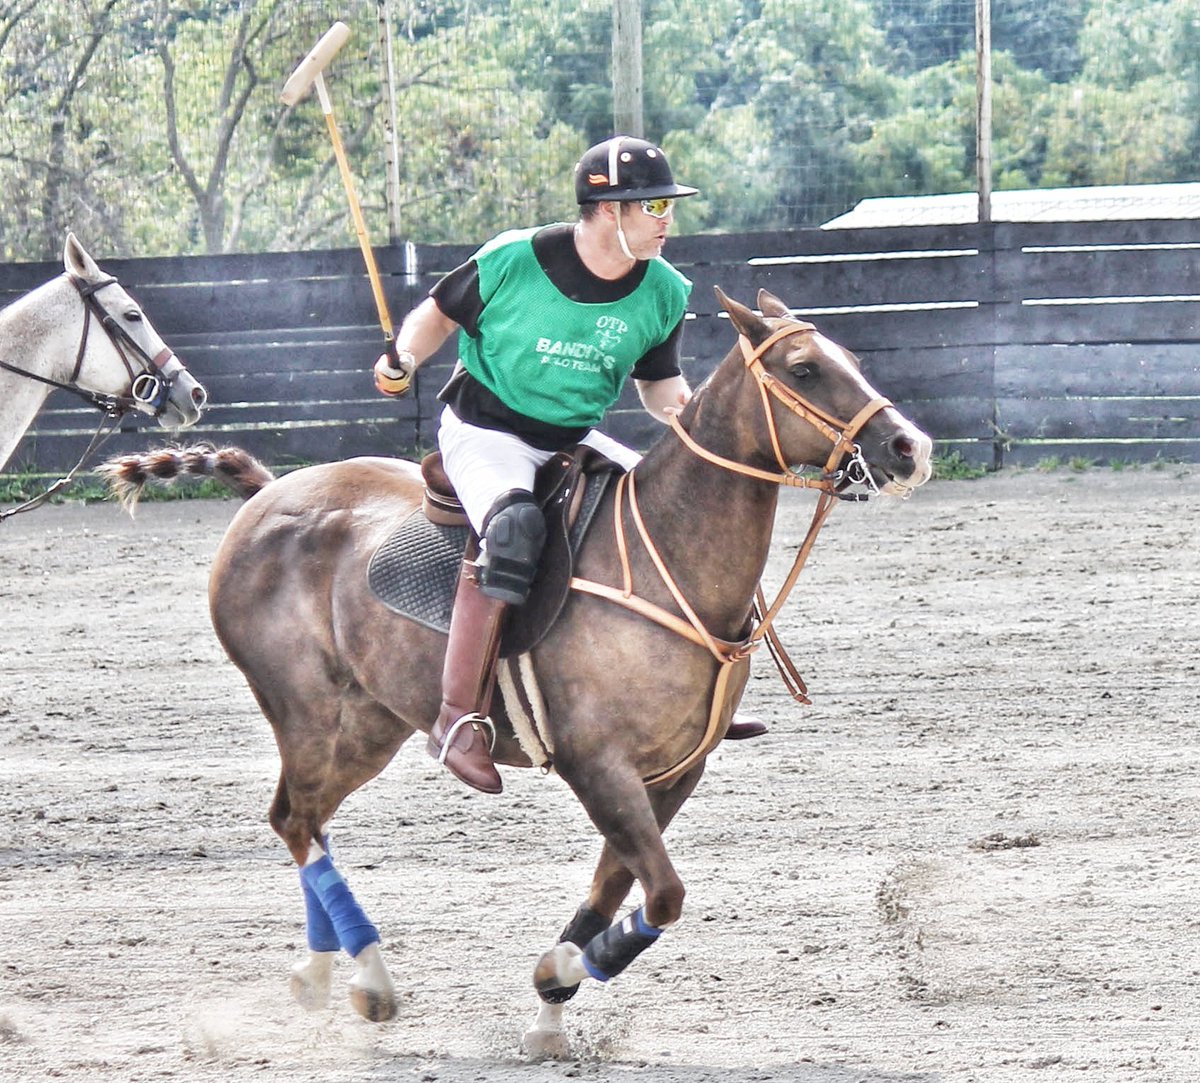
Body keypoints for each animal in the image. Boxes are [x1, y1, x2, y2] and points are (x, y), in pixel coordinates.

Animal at [99, 287, 933, 1058]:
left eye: (852, 358)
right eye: (804, 368)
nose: (909, 448)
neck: (672, 558)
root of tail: (269, 489)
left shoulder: (671, 773)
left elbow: (615, 888)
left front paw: (551, 1002)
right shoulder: (597, 763)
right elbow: (663, 893)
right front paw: (562, 972)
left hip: (369, 722)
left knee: (303, 819)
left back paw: (319, 972)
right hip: (305, 707)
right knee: (295, 819)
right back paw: (369, 975)